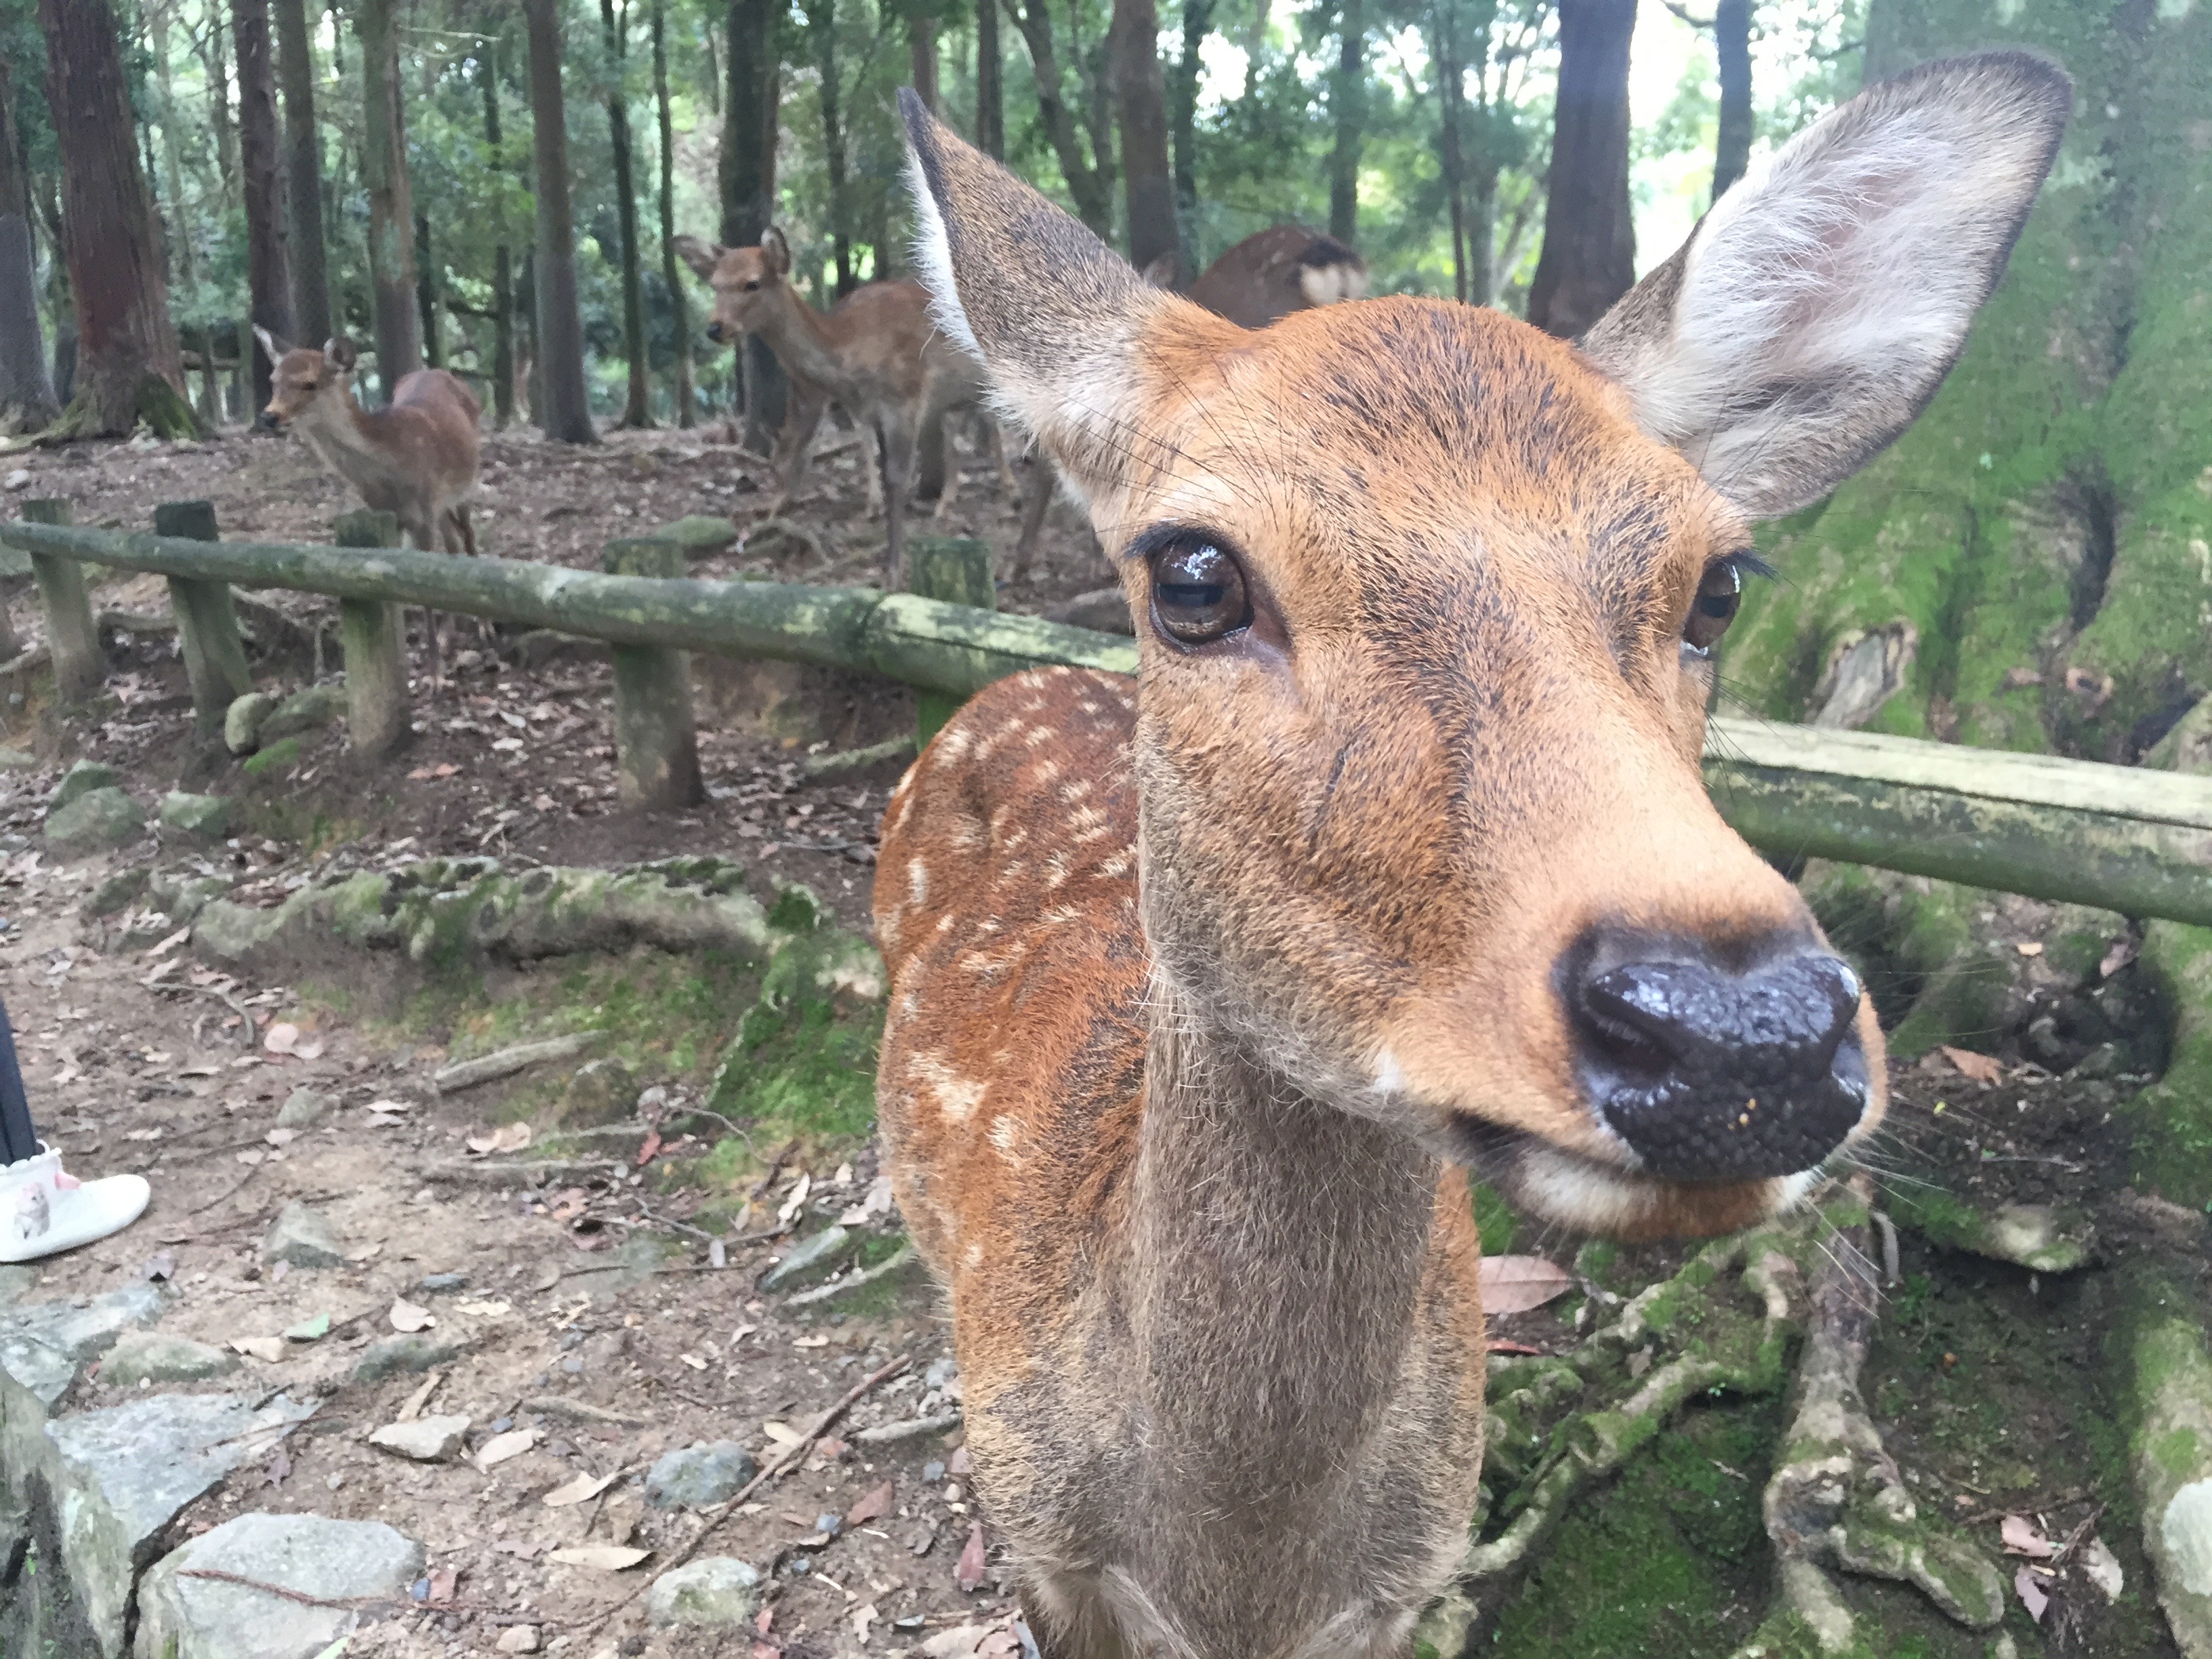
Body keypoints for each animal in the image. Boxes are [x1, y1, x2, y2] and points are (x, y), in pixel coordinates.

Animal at [254, 331, 481, 685]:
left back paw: (485, 629)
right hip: (441, 505)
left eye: (309, 383)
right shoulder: (389, 516)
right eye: (273, 380)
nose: (269, 416)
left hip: (466, 485)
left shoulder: (424, 509)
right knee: (454, 546)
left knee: (468, 540)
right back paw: (451, 632)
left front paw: (434, 674)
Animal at [676, 228, 1041, 590]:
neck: (849, 350)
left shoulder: (906, 400)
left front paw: (892, 573)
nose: (715, 328)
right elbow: (873, 457)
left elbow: (897, 479)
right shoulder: (866, 411)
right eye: (715, 284)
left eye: (752, 283)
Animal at [875, 51, 2068, 1659]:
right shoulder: (1043, 1546)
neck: (1234, 1570)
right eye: (1191, 573)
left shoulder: (1416, 1565)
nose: (1739, 1035)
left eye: (1722, 583)